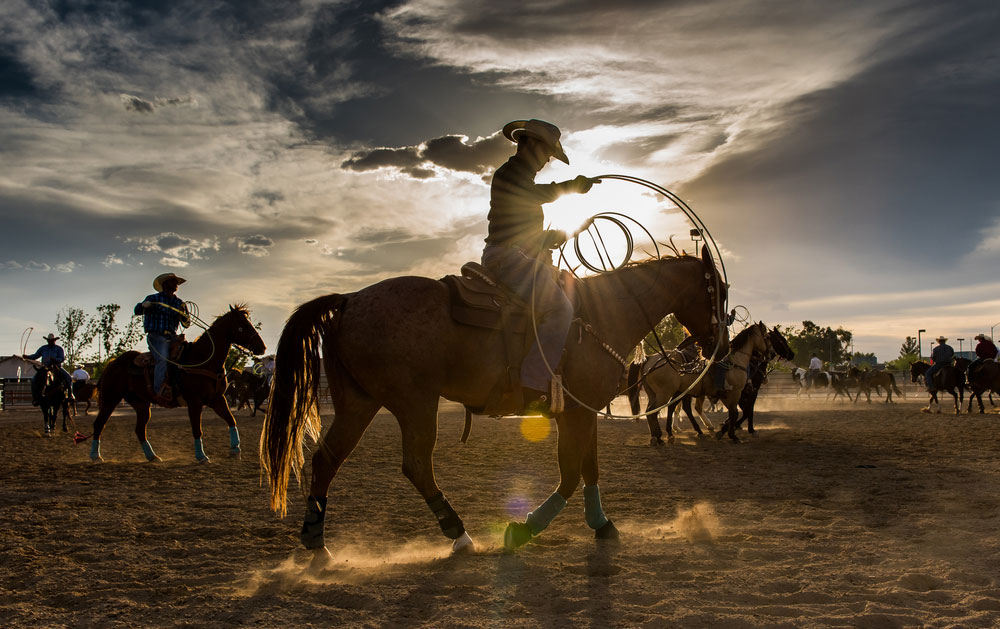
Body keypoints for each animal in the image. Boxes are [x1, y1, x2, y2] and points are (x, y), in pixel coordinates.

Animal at [89, 306, 266, 464]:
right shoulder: (194, 402)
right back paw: (95, 456)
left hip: (141, 404)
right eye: (242, 327)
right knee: (99, 424)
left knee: (139, 430)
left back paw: (152, 456)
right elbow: (197, 429)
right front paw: (201, 456)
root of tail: (112, 364)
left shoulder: (217, 399)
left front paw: (235, 449)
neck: (202, 360)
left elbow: (231, 420)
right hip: (111, 399)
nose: (262, 347)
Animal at [258, 245, 728, 560]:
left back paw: (317, 545)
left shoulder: (585, 411)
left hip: (360, 403)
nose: (719, 348)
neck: (597, 314)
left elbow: (589, 470)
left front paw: (602, 525)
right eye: (717, 291)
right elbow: (570, 474)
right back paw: (459, 535)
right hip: (415, 402)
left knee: (326, 460)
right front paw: (523, 530)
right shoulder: (575, 413)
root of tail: (349, 300)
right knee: (416, 465)